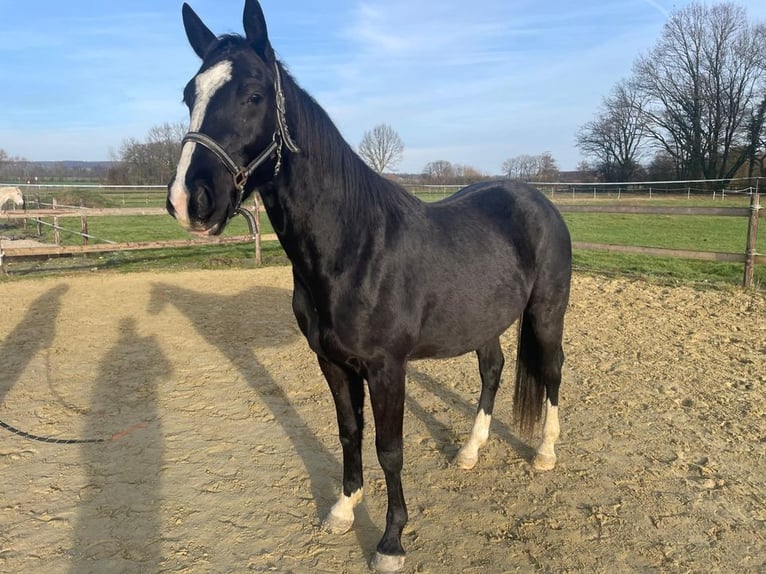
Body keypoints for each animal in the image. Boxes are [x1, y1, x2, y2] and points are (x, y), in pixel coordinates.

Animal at [167, 2, 572, 571]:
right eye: (190, 95)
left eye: (253, 95)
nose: (190, 200)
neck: (354, 247)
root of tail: (537, 200)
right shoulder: (333, 362)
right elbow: (349, 432)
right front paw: (342, 508)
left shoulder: (386, 367)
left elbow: (390, 449)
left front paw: (391, 542)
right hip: (483, 320)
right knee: (492, 370)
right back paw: (470, 452)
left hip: (546, 313)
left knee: (552, 370)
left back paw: (544, 453)